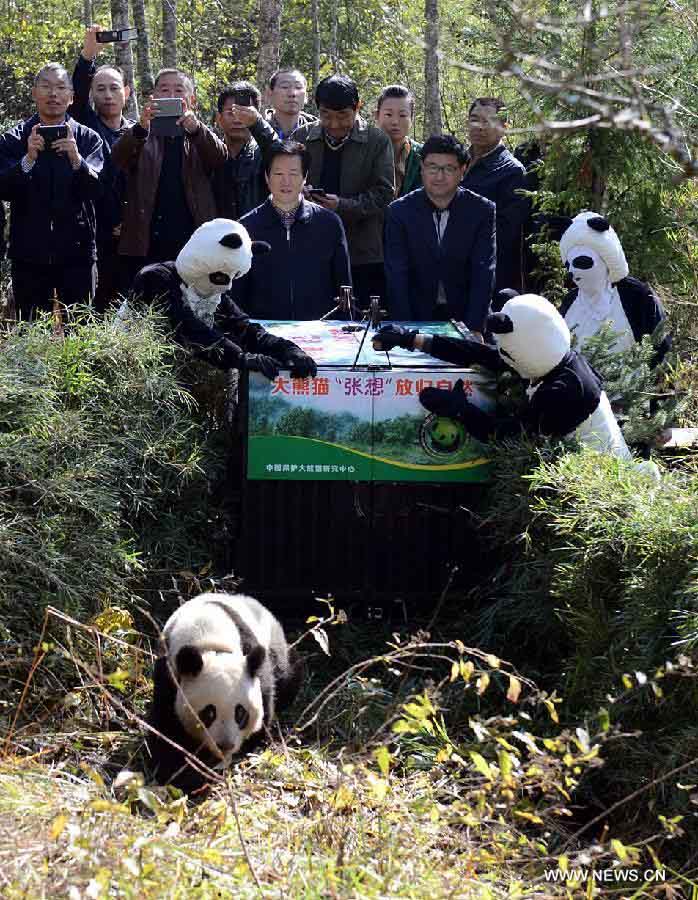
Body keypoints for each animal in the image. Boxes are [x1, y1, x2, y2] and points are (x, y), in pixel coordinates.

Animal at [145, 596, 300, 792]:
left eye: (240, 713)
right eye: (208, 713)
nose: (225, 745)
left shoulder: (251, 655)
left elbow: (265, 697)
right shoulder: (168, 672)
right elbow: (165, 726)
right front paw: (183, 774)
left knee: (288, 673)